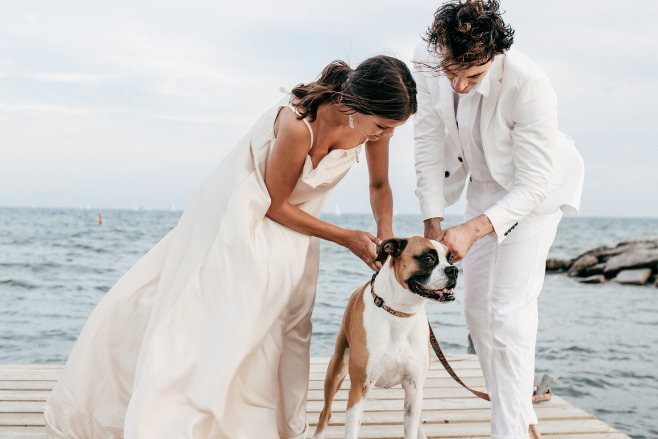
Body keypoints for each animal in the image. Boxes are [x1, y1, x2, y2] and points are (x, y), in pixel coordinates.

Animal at [312, 237, 456, 439]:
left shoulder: (414, 388)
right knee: (325, 413)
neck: (400, 313)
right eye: (427, 258)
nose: (454, 270)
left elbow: (412, 426)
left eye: (451, 258)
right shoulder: (359, 389)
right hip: (336, 370)